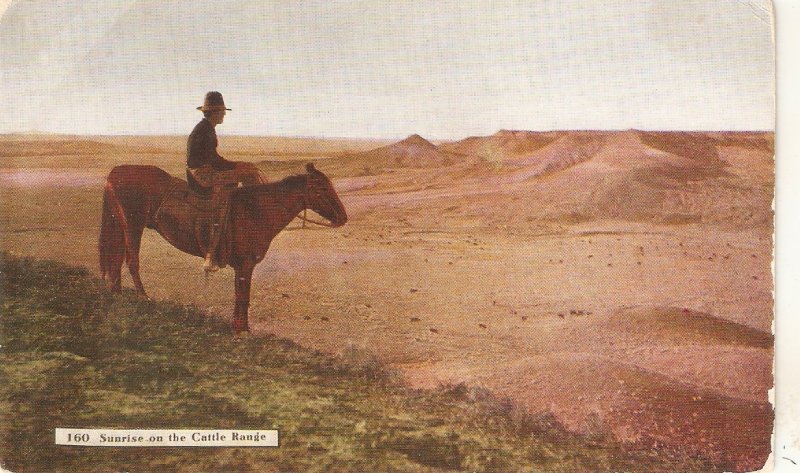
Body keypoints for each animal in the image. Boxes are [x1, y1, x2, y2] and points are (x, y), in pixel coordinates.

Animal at [97, 162, 346, 332]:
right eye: (322, 188)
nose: (343, 217)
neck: (257, 210)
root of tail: (115, 173)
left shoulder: (243, 266)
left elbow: (240, 293)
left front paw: (238, 326)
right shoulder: (246, 265)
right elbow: (243, 295)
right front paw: (242, 329)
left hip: (120, 226)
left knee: (116, 260)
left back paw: (117, 293)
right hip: (132, 226)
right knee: (131, 262)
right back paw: (143, 297)